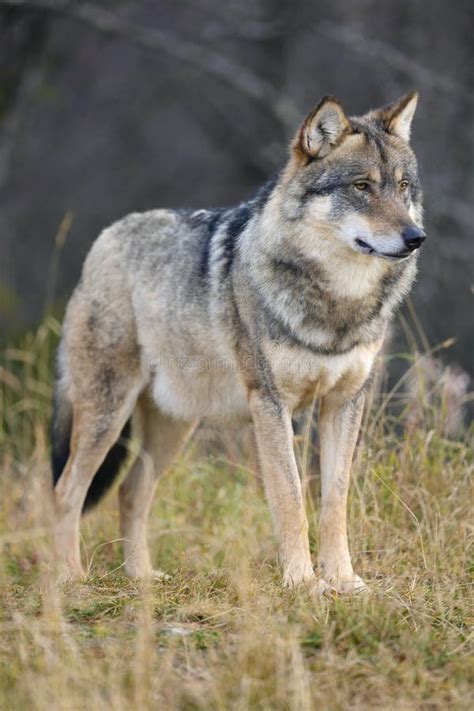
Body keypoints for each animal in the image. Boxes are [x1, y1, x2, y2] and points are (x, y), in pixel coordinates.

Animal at [51, 93, 426, 596]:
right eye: (362, 186)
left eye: (403, 187)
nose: (415, 238)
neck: (336, 304)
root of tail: (105, 238)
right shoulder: (269, 404)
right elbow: (290, 498)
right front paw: (302, 582)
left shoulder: (346, 402)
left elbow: (335, 502)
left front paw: (343, 581)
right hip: (108, 414)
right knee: (67, 490)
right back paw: (70, 578)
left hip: (173, 425)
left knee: (131, 492)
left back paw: (142, 577)